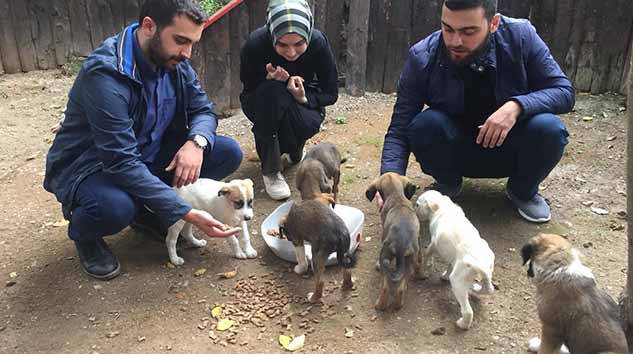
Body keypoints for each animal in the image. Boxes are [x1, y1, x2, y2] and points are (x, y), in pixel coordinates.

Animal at [366, 173, 420, 312]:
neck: (397, 196)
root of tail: (401, 243)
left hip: (385, 256)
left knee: (385, 287)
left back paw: (379, 305)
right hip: (409, 260)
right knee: (400, 288)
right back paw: (398, 304)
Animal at [414, 189, 494, 330]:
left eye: (418, 204)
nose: (414, 209)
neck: (443, 206)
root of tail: (479, 262)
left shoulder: (434, 244)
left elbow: (427, 254)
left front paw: (425, 267)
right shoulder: (452, 256)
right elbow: (449, 265)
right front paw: (444, 276)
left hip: (457, 282)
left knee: (468, 312)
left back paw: (462, 324)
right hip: (485, 274)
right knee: (489, 290)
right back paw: (475, 289)